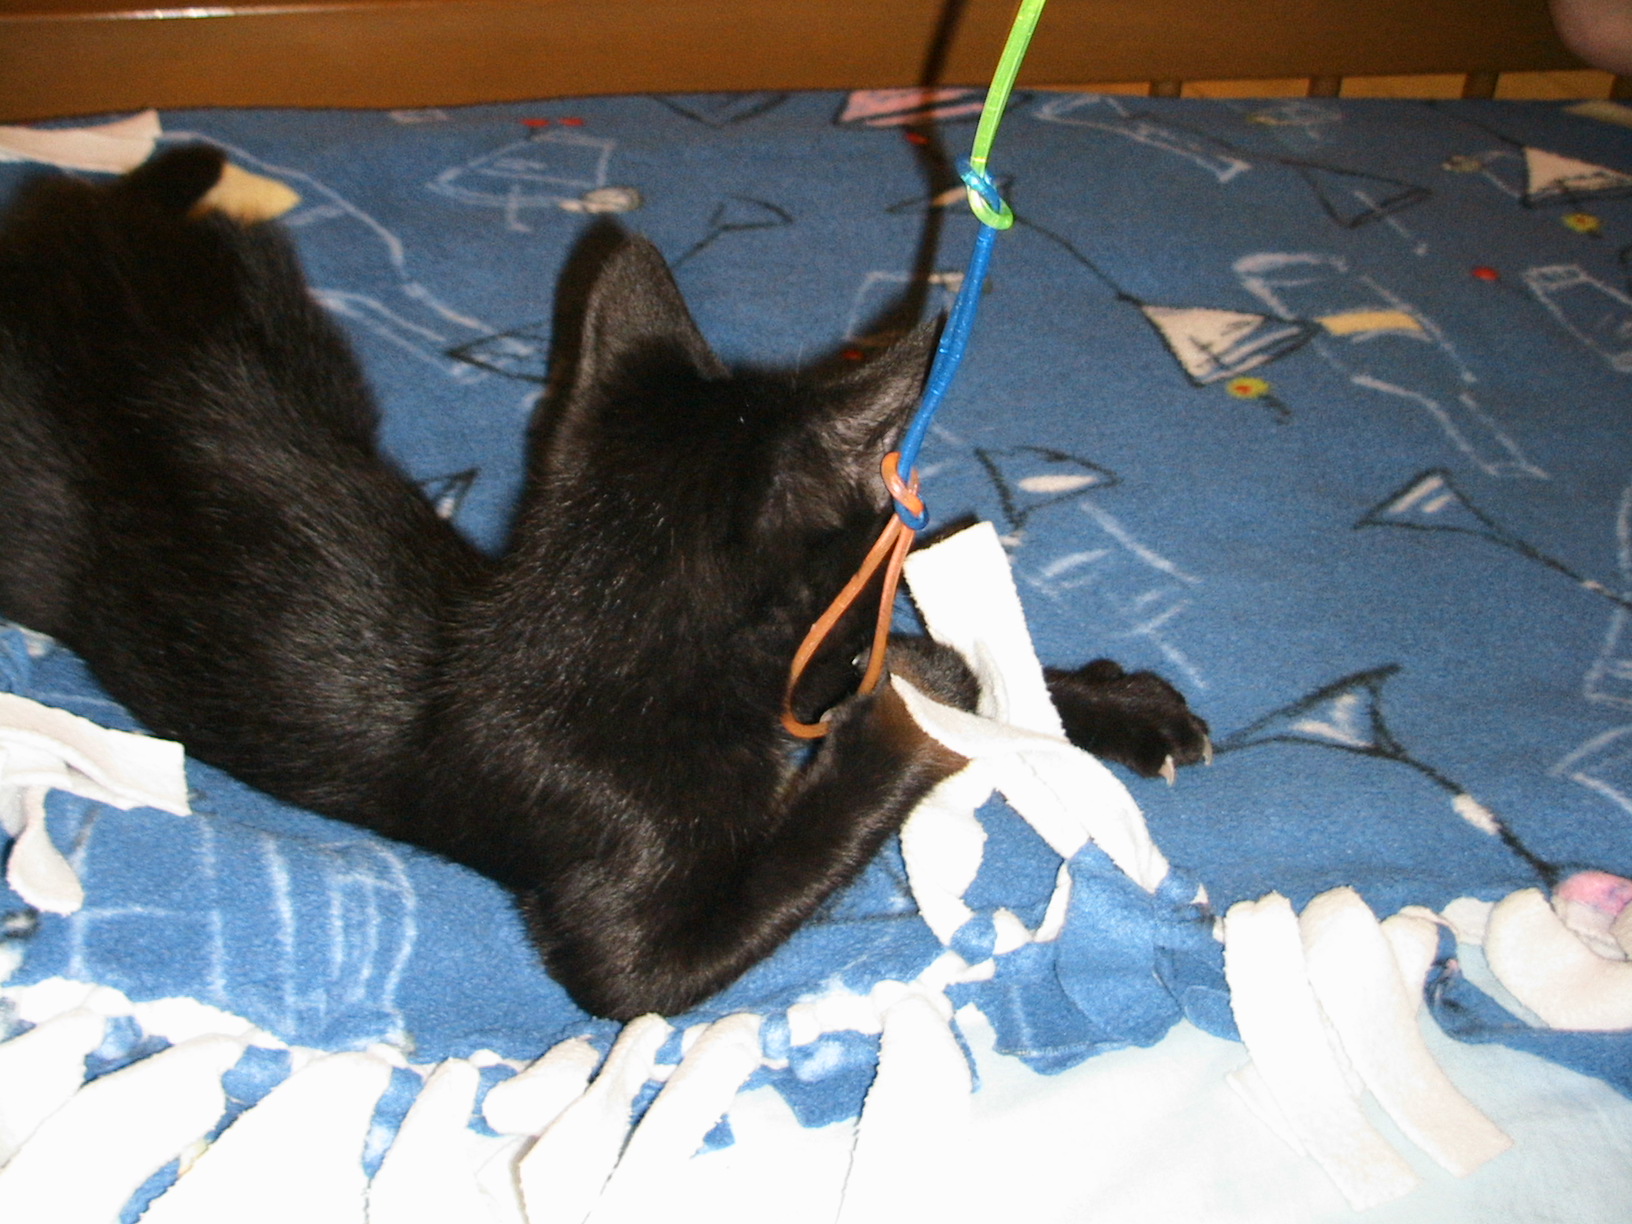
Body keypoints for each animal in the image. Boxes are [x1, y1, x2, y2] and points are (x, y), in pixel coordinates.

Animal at [0, 146, 1209, 1020]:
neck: (595, 614)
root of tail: (77, 226)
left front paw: (1108, 703)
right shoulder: (615, 920)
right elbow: (747, 892)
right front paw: (916, 708)